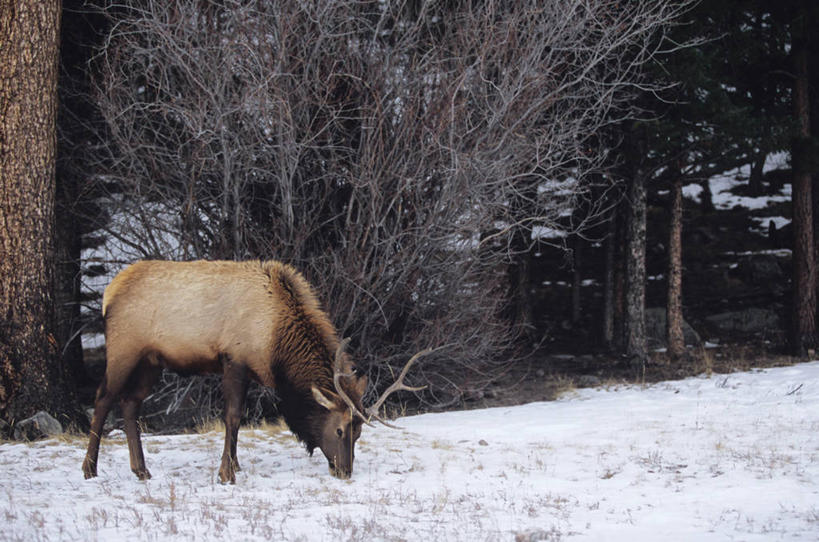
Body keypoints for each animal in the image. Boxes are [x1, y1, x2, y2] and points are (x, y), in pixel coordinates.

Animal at [81, 260, 430, 484]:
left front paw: (234, 465)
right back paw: (89, 469)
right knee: (102, 398)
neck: (275, 341)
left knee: (130, 403)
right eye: (341, 430)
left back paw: (141, 470)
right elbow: (233, 416)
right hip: (124, 349)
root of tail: (109, 292)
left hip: (151, 362)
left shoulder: (247, 369)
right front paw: (226, 474)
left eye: (358, 433)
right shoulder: (233, 358)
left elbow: (239, 419)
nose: (345, 471)